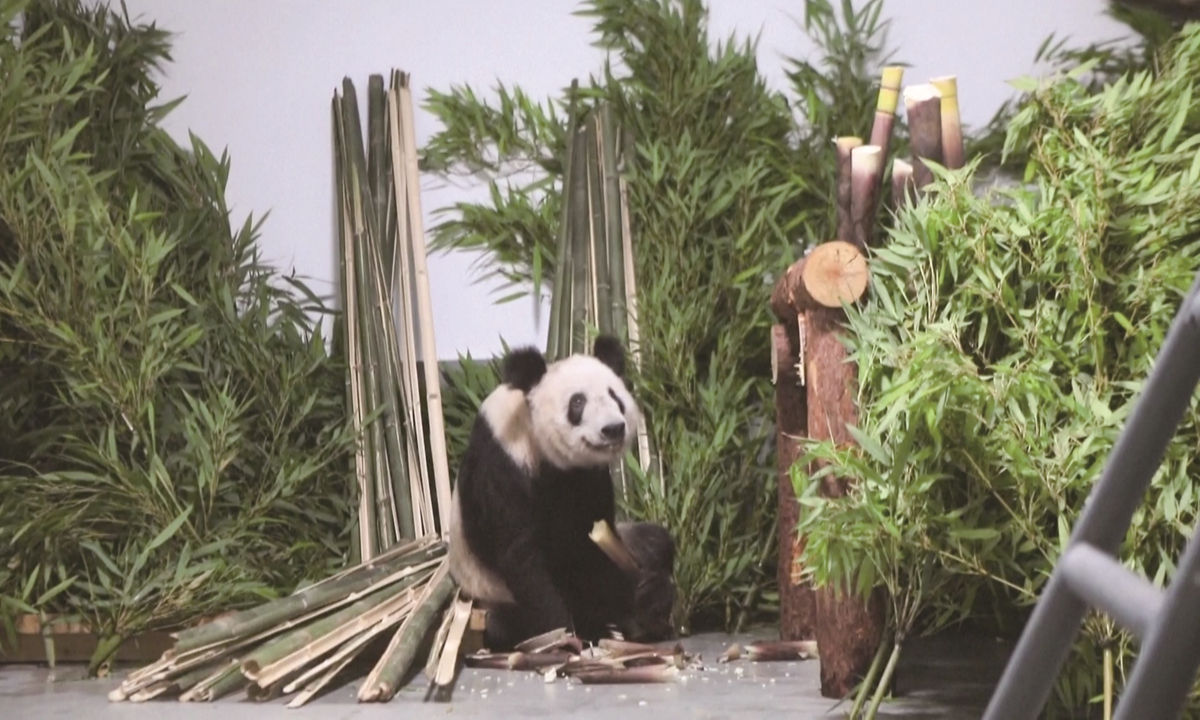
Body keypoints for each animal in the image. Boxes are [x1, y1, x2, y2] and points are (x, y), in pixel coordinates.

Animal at [448, 333, 676, 648]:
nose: (613, 429)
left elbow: (589, 544)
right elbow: (521, 555)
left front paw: (643, 598)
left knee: (655, 542)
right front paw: (563, 632)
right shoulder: (502, 463)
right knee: (503, 621)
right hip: (486, 592)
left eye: (615, 397)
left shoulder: (588, 478)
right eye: (577, 402)